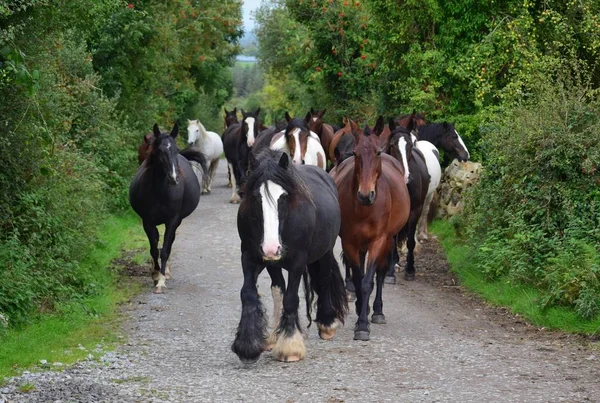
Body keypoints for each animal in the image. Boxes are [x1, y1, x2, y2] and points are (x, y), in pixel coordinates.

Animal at [129, 123, 209, 294]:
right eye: (159, 150)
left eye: (176, 149)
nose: (173, 178)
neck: (160, 191)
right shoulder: (147, 221)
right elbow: (154, 248)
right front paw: (155, 274)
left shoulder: (172, 220)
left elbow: (165, 248)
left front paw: (161, 280)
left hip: (177, 221)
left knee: (170, 243)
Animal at [233, 150, 346, 364]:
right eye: (255, 197)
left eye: (283, 197)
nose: (271, 248)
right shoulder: (250, 258)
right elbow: (248, 293)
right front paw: (248, 346)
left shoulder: (297, 262)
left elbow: (291, 299)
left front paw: (290, 347)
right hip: (273, 263)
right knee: (278, 289)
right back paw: (274, 336)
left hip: (325, 251)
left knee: (324, 279)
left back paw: (327, 324)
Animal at [332, 126, 412, 340]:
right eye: (355, 153)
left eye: (377, 153)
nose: (365, 195)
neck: (365, 209)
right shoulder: (350, 242)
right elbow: (358, 280)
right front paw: (361, 315)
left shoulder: (378, 241)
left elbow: (368, 281)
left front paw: (362, 325)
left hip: (388, 241)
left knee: (381, 272)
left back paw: (377, 311)